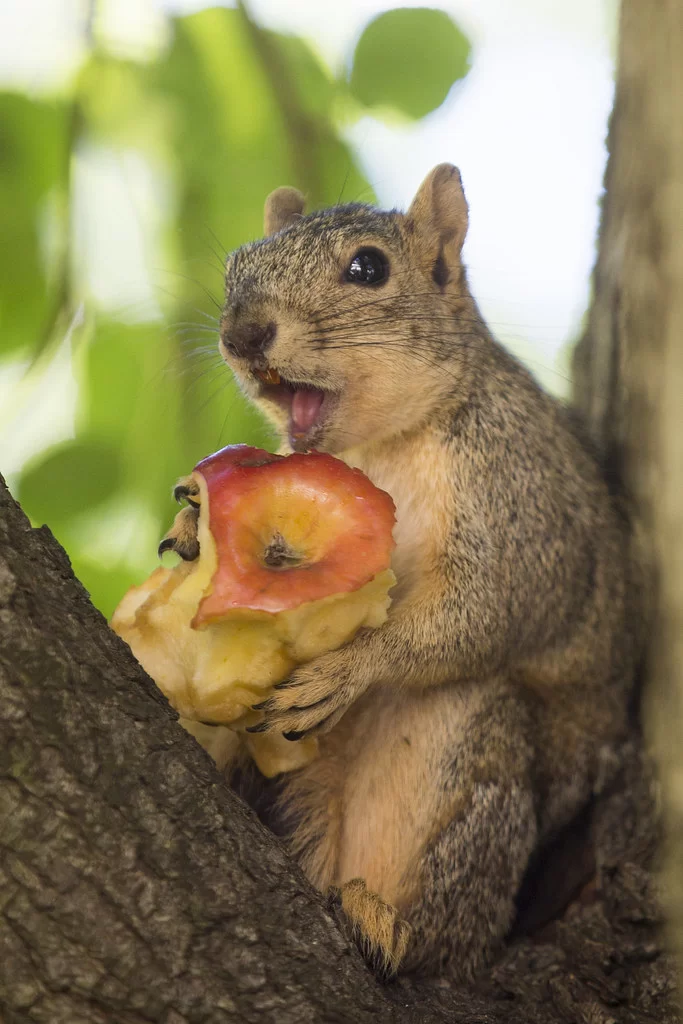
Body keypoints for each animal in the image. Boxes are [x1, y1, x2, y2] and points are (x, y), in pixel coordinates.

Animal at [171, 163, 643, 978]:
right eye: (236, 266)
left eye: (368, 268)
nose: (242, 333)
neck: (380, 445)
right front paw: (190, 526)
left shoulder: (518, 503)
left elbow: (488, 612)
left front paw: (350, 668)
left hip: (454, 750)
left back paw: (383, 922)